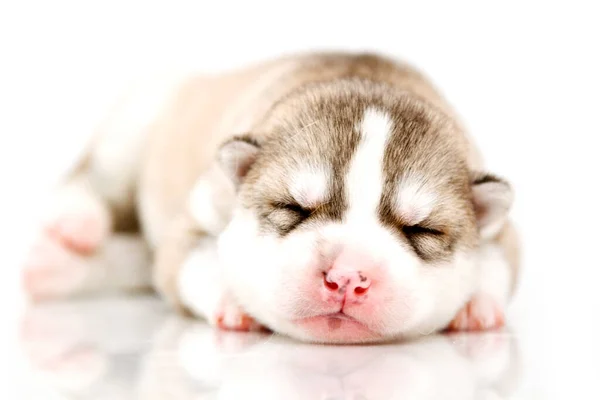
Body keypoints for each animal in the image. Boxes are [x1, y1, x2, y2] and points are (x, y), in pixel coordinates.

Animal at [22, 50, 520, 344]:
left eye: (422, 230)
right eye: (292, 208)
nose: (345, 277)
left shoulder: (503, 226)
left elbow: (499, 262)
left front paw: (476, 304)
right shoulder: (201, 210)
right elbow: (187, 259)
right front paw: (232, 300)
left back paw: (56, 267)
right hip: (139, 116)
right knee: (91, 178)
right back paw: (73, 226)